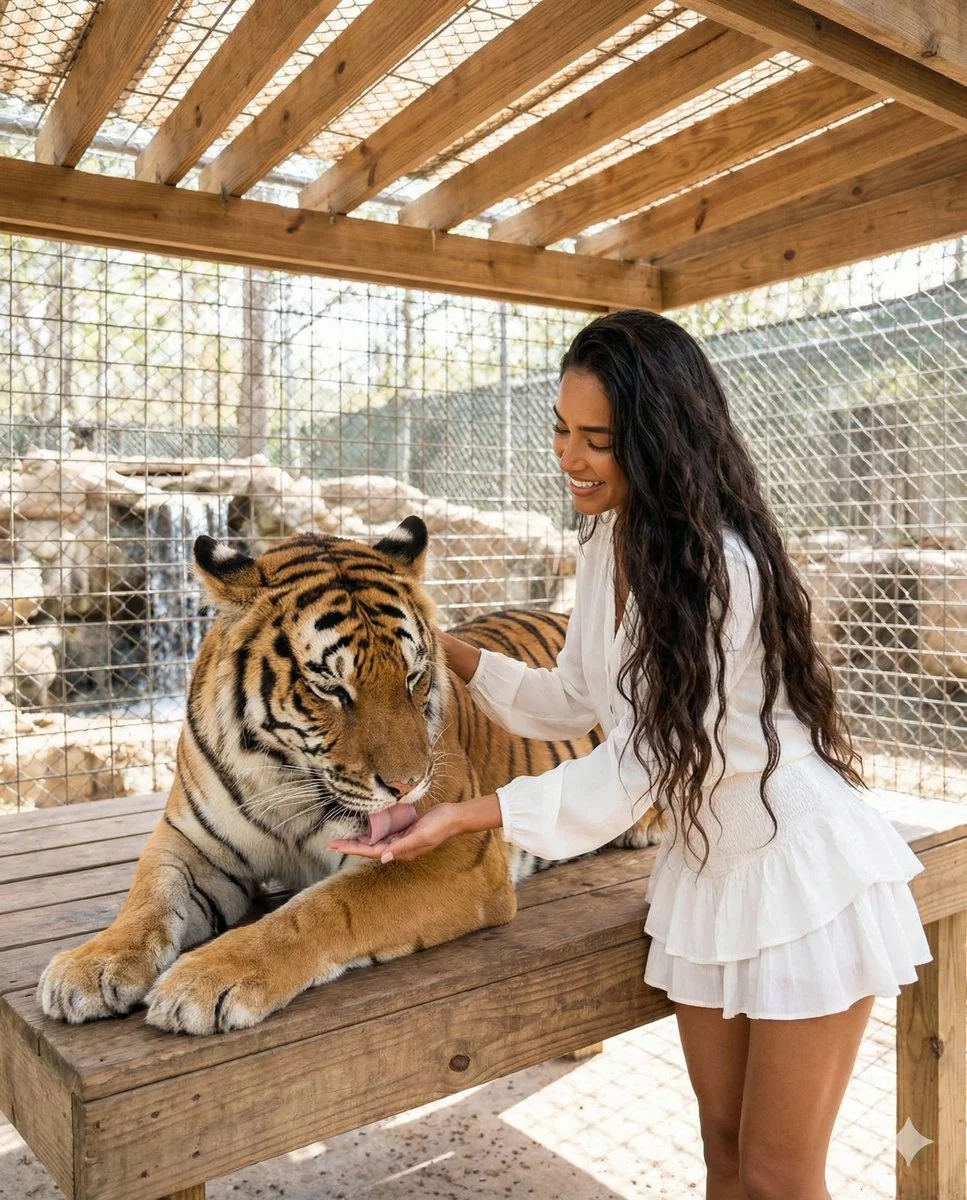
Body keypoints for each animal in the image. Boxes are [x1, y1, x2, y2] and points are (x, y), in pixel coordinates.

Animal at [38, 516, 662, 1035]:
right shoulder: (191, 841)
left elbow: (321, 909)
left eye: (412, 677)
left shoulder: (451, 856)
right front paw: (90, 966)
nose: (409, 784)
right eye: (330, 689)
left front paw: (205, 979)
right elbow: (149, 896)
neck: (284, 777)